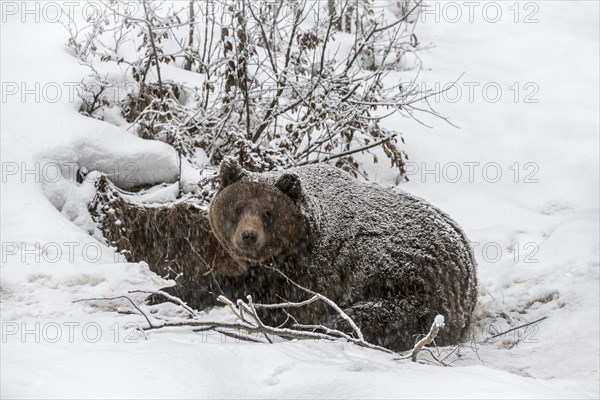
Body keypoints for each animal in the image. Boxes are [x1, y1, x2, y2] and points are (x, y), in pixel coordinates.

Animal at [156, 158, 478, 352]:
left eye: (268, 212)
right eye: (237, 208)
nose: (248, 236)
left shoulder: (306, 271)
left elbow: (252, 292)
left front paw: (166, 293)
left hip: (412, 286)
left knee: (361, 319)